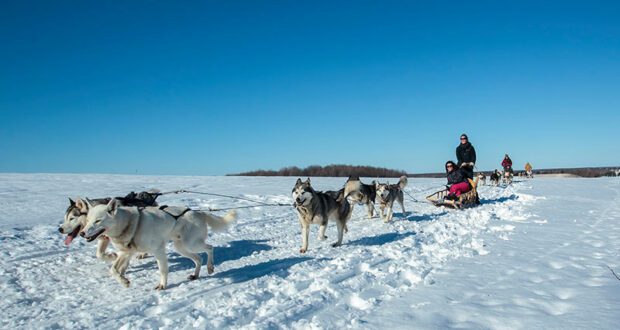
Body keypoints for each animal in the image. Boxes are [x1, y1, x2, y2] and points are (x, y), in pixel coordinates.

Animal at [81, 199, 236, 288]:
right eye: (88, 220)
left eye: (98, 221)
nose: (82, 233)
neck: (130, 223)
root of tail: (199, 213)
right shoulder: (125, 253)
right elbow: (113, 269)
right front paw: (124, 281)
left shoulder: (158, 251)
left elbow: (162, 270)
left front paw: (162, 285)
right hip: (181, 247)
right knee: (199, 258)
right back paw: (195, 275)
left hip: (190, 244)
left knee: (210, 248)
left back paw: (210, 267)